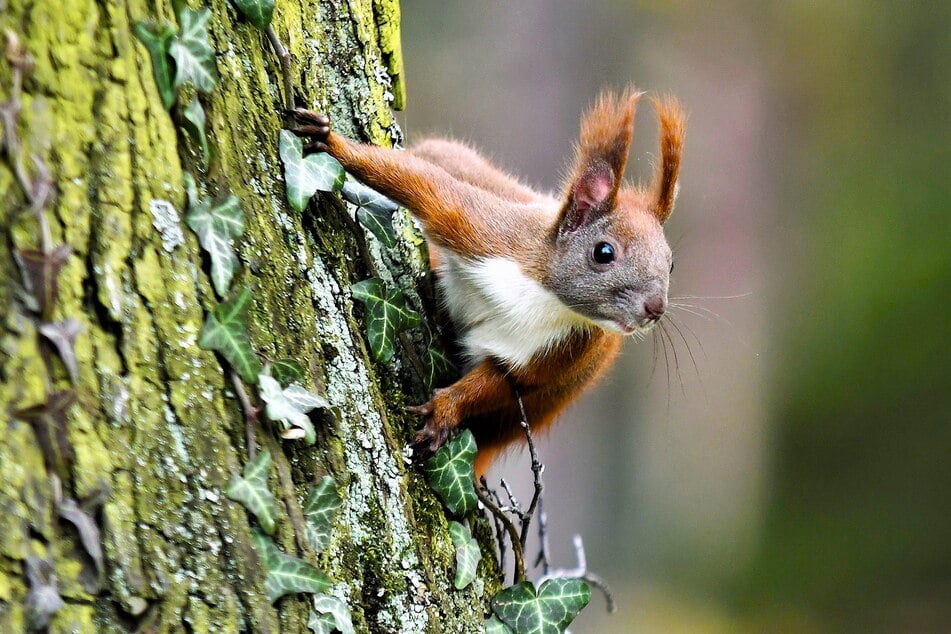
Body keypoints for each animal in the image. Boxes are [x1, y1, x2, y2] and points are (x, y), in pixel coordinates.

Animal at [290, 87, 684, 474]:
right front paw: (332, 142)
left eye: (671, 264)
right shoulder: (484, 231)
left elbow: (498, 382)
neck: (542, 295)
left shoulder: (557, 351)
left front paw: (445, 411)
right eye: (604, 252)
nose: (655, 308)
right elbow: (424, 187)